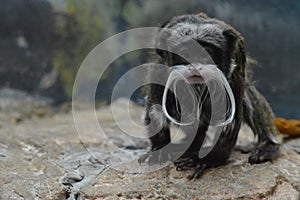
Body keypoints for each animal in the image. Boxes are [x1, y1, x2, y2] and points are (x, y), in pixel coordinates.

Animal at [139, 14, 280, 180]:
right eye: (186, 52)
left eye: (205, 52)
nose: (195, 66)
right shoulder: (161, 71)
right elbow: (156, 108)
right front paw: (160, 148)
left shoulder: (234, 74)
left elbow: (229, 120)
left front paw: (206, 159)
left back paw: (268, 146)